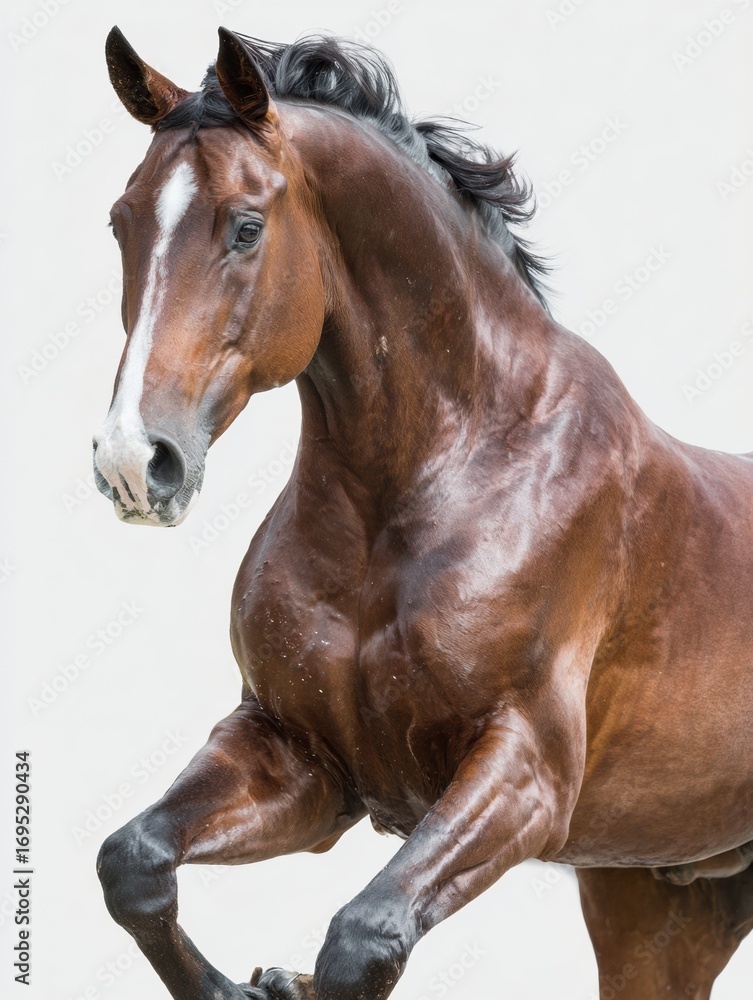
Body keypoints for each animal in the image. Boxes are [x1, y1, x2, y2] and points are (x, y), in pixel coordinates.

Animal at [92, 25, 753, 1000]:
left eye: (245, 227)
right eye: (121, 221)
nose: (136, 463)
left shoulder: (523, 773)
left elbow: (363, 939)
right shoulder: (303, 762)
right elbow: (133, 861)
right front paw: (251, 985)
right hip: (660, 908)